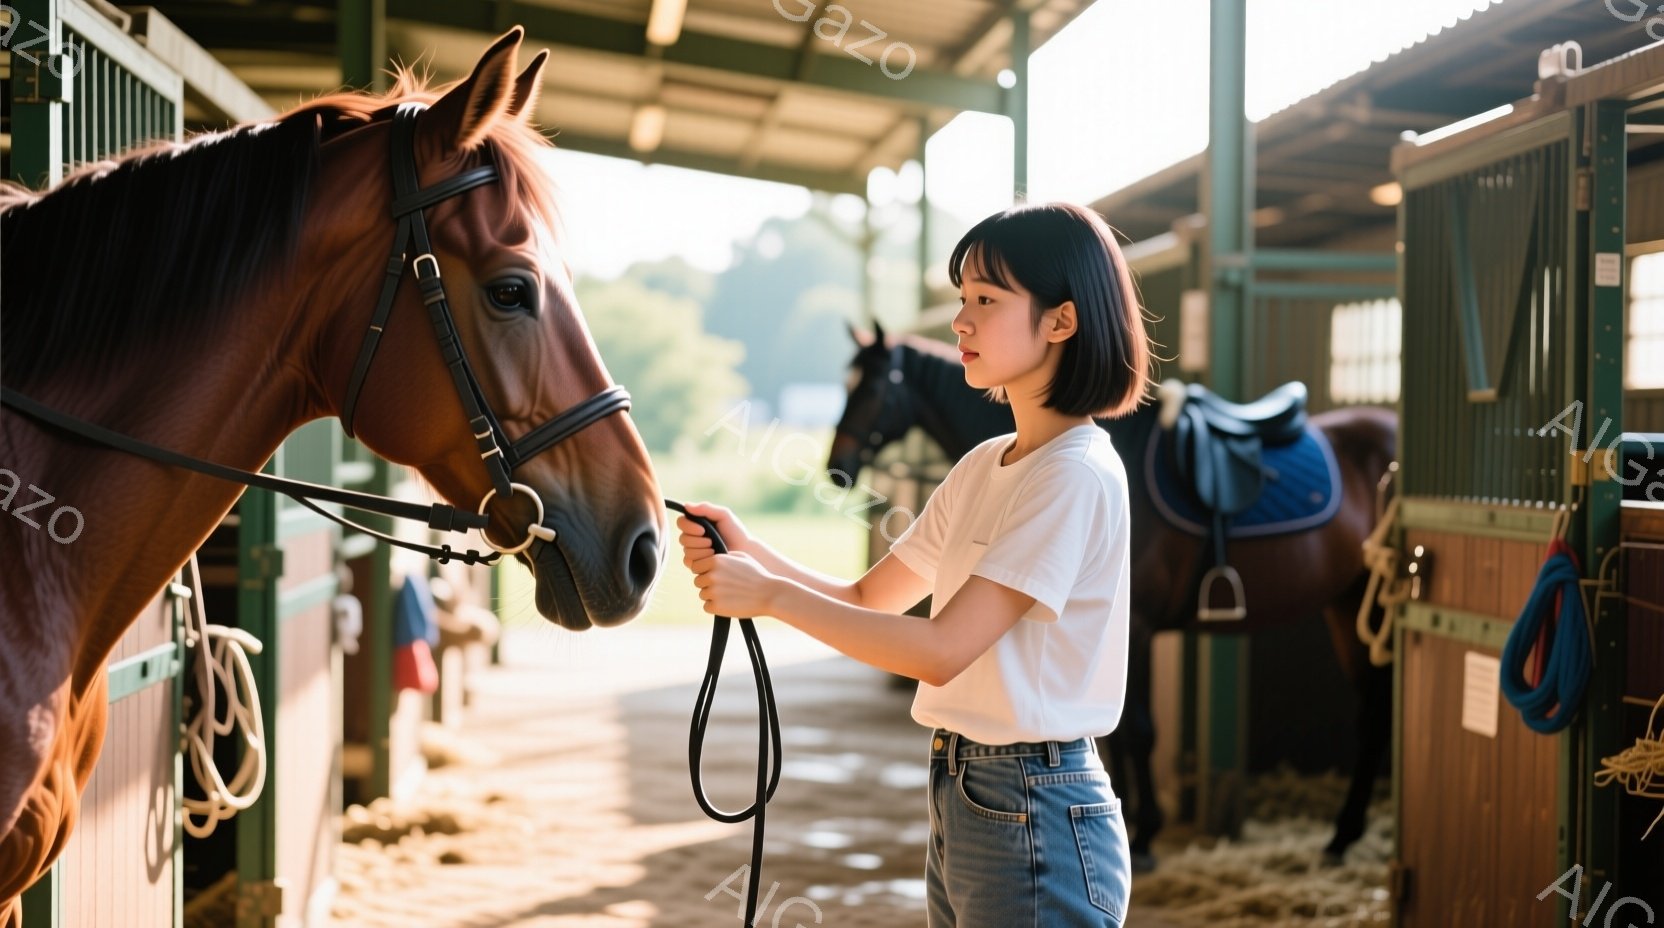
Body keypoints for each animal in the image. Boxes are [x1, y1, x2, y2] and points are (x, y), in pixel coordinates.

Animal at [827, 322, 1396, 869]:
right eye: (846, 383)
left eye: (872, 387)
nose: (838, 465)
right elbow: (1117, 734)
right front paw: (1126, 816)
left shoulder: (1137, 627)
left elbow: (1138, 731)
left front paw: (1143, 836)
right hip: (1347, 604)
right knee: (1371, 712)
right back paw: (1341, 839)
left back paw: (1343, 836)